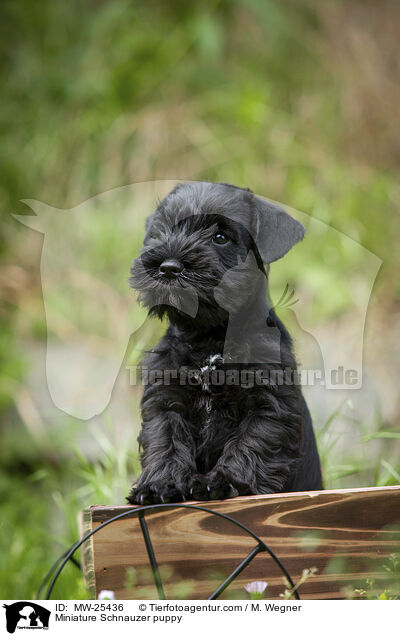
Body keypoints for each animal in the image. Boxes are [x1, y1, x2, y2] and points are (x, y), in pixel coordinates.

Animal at [128, 181, 322, 504]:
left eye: (220, 237)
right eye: (161, 231)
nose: (168, 267)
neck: (210, 341)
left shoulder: (268, 404)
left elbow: (250, 445)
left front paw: (223, 481)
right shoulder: (165, 400)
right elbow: (166, 442)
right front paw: (157, 485)